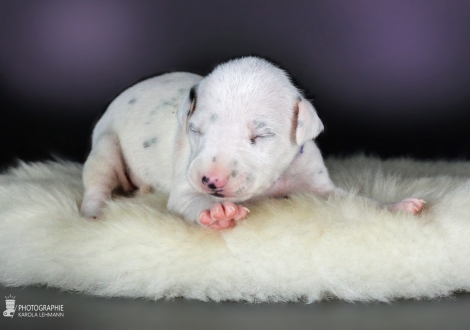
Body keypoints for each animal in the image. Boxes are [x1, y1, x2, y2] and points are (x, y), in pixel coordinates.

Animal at [81, 56, 426, 228]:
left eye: (260, 136)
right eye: (195, 130)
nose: (211, 181)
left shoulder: (316, 184)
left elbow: (355, 199)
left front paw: (396, 206)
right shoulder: (185, 183)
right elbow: (192, 200)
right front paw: (216, 213)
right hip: (105, 145)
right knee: (97, 182)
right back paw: (94, 211)